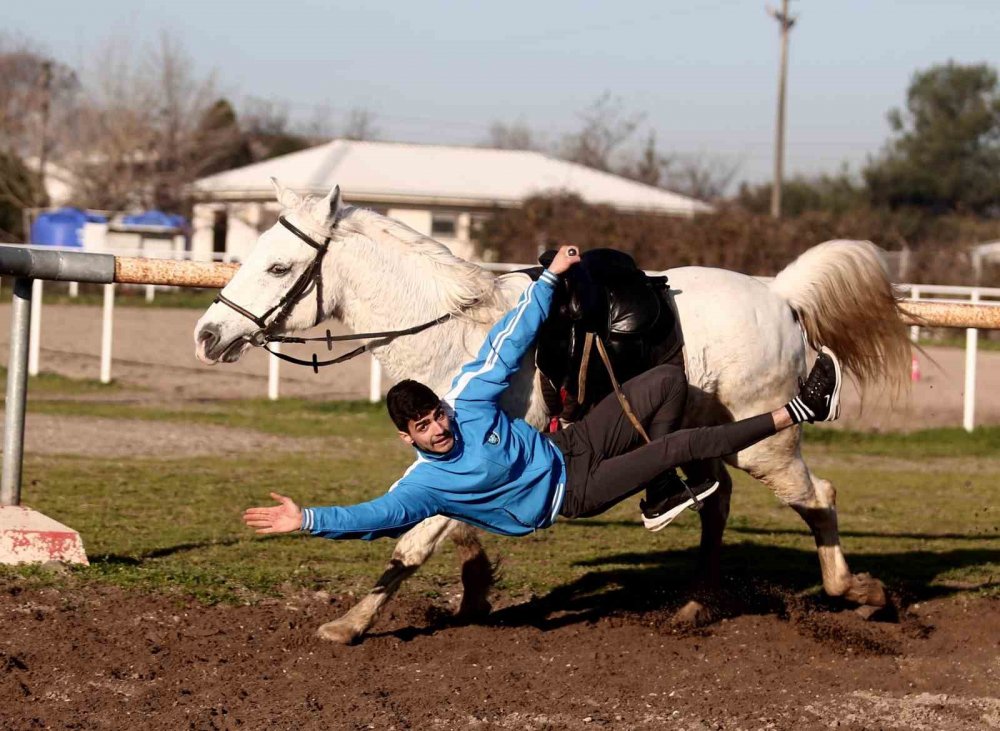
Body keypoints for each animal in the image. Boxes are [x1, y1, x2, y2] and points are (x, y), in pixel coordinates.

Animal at [191, 183, 912, 648]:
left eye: (277, 265)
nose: (207, 334)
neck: (457, 326)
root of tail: (780, 296)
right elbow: (450, 529)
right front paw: (475, 590)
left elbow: (415, 541)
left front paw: (351, 624)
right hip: (707, 437)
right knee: (716, 501)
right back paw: (692, 605)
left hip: (766, 446)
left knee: (819, 497)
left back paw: (860, 592)